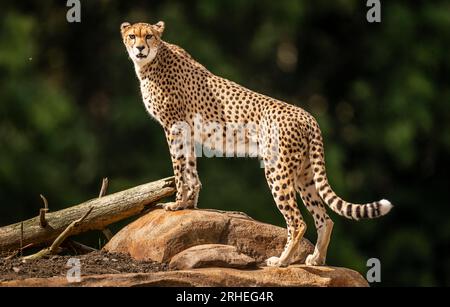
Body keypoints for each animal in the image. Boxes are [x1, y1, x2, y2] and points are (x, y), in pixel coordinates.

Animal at [121, 21, 392, 268]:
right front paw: (189, 203)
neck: (153, 61)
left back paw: (282, 261)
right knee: (325, 218)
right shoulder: (186, 131)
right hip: (305, 174)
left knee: (297, 221)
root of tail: (307, 115)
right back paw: (317, 259)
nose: (140, 48)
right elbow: (190, 168)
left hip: (277, 170)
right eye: (133, 36)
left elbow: (179, 168)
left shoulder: (174, 127)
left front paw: (176, 203)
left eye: (149, 36)